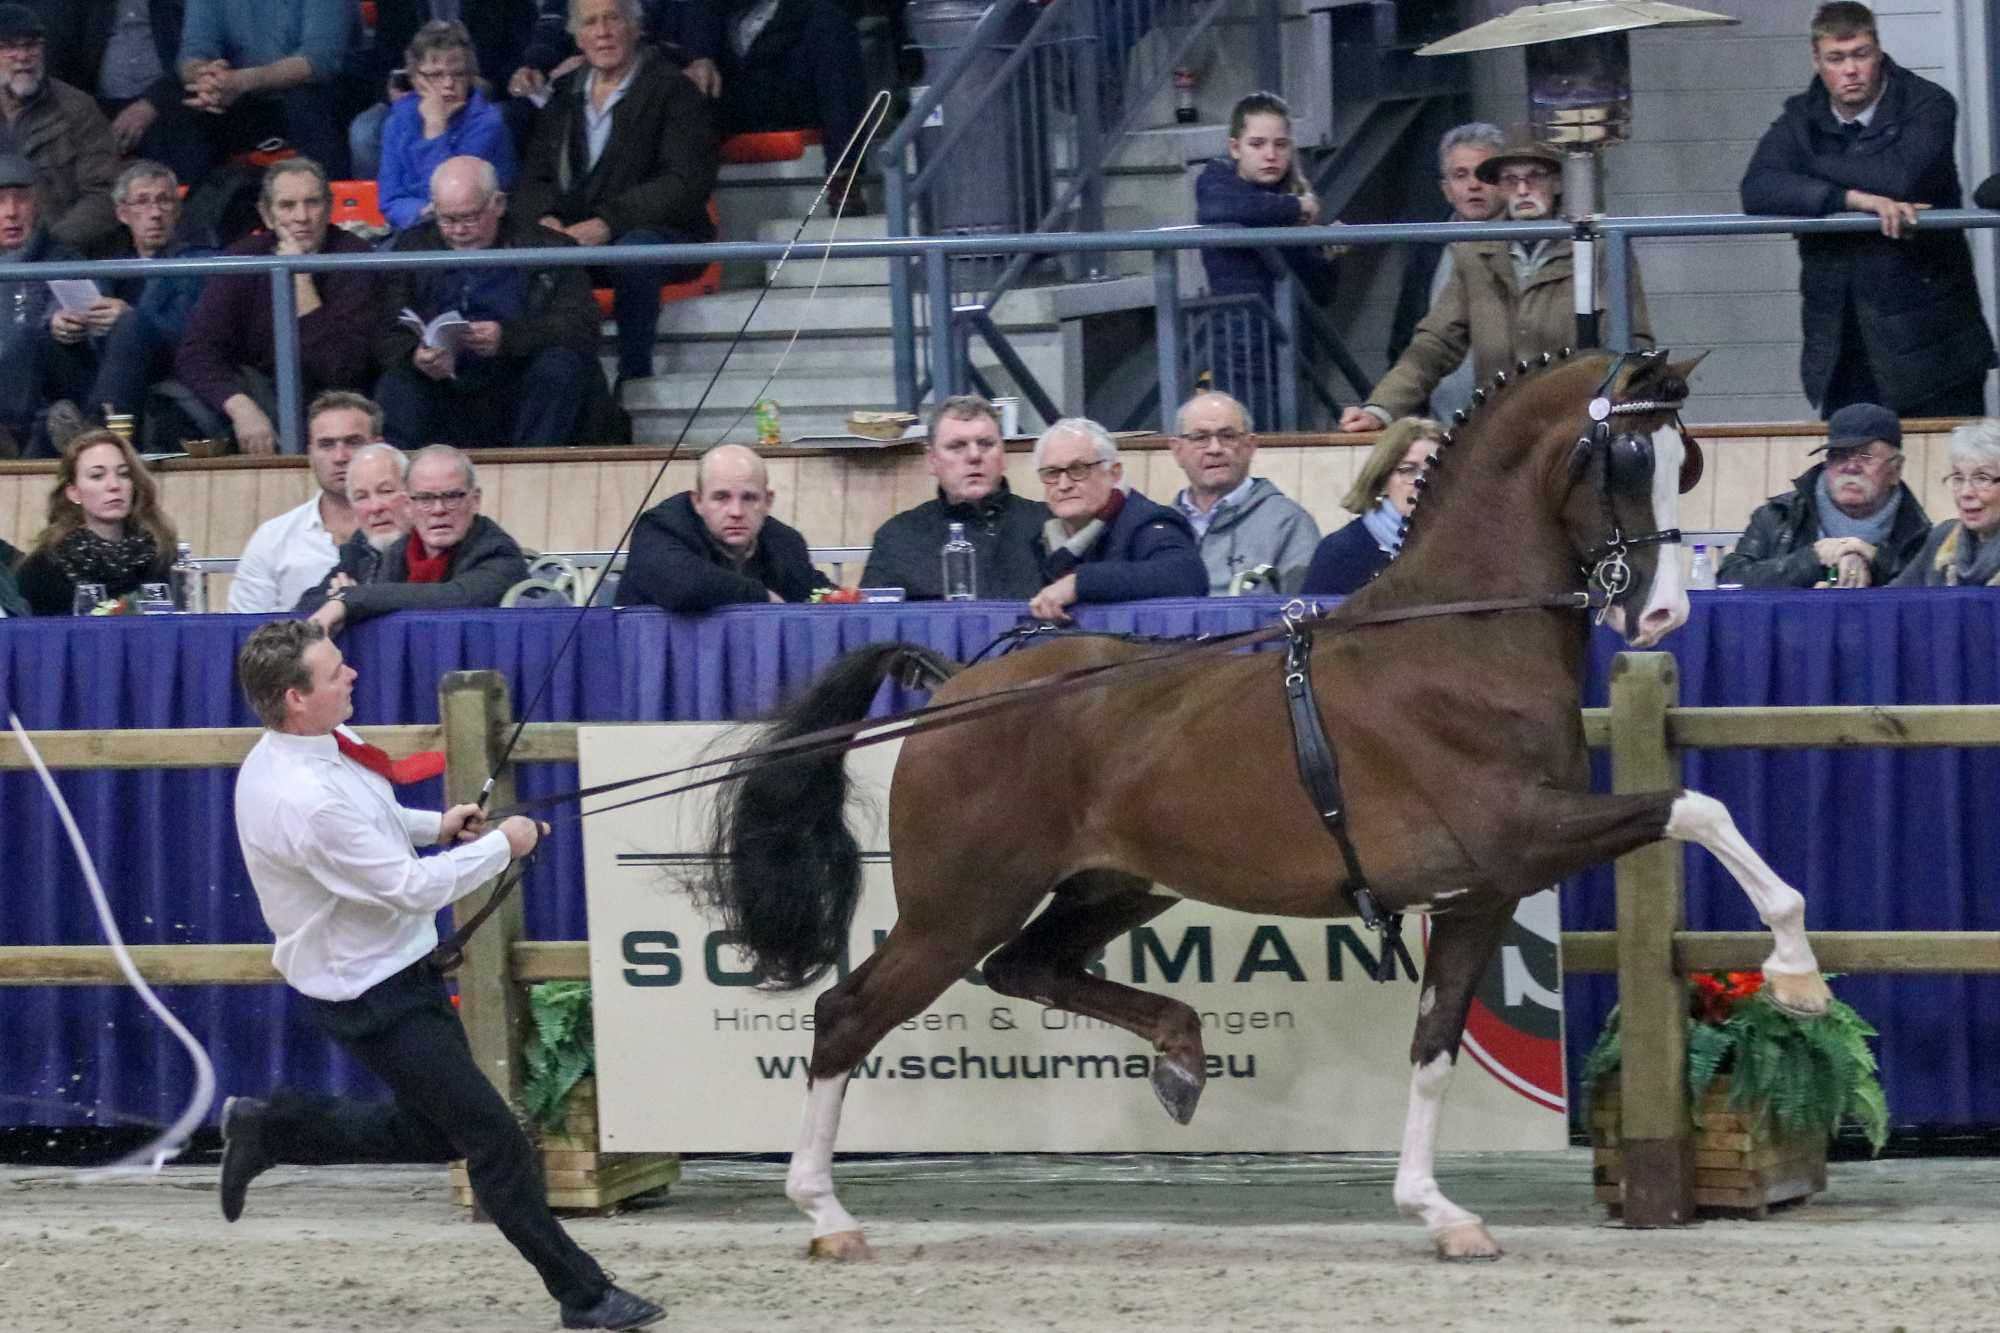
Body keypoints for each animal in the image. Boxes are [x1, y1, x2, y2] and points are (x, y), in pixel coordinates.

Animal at [700, 348, 1832, 1264]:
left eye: (1686, 459)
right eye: (1625, 460)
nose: (1662, 613)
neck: (1457, 641)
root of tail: (952, 685)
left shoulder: (1478, 892)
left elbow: (1432, 1050)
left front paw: (1438, 1213)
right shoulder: (1523, 835)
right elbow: (1695, 806)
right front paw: (1794, 972)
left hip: (1115, 887)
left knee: (1027, 967)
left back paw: (1180, 1057)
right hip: (958, 903)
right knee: (851, 1012)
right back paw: (827, 1213)